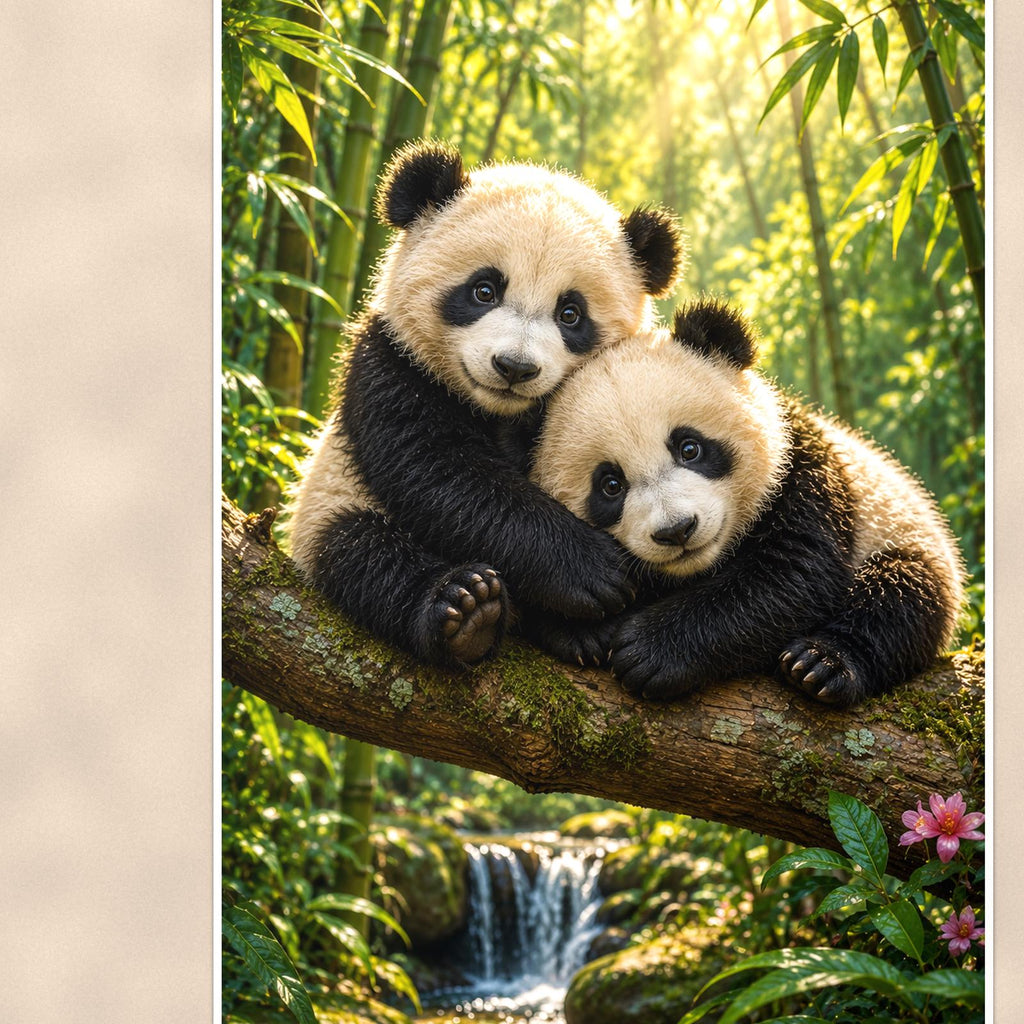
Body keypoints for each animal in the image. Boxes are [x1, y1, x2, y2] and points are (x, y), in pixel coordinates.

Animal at [286, 140, 683, 668]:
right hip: (328, 503)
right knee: (361, 554)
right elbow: (437, 471)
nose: (514, 367)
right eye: (484, 290)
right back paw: (467, 609)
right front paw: (592, 572)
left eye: (571, 313)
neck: (499, 412)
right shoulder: (389, 364)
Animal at [530, 297, 966, 707]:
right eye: (610, 485)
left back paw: (822, 663)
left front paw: (650, 651)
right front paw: (583, 626)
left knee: (901, 593)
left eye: (690, 447)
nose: (677, 530)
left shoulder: (800, 470)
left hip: (902, 531)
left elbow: (792, 576)